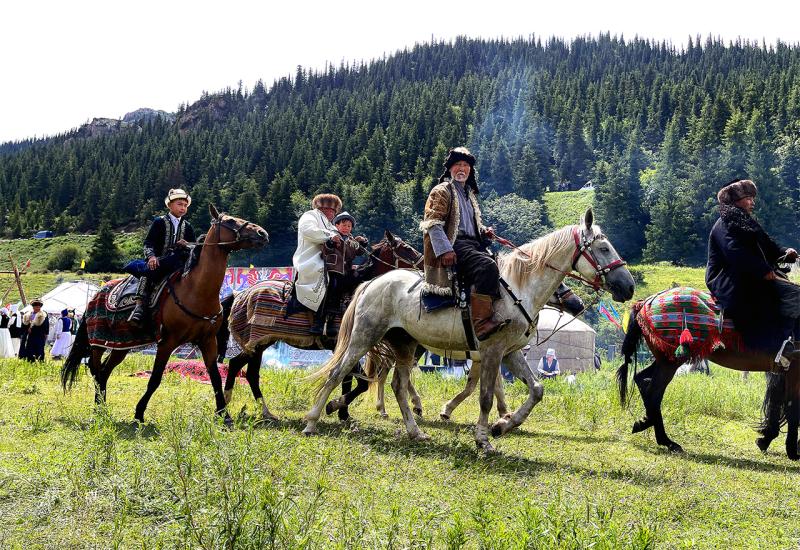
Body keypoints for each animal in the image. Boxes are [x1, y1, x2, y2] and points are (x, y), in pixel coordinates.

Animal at [61, 207, 268, 426]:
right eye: (230, 221)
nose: (262, 233)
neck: (196, 290)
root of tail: (96, 295)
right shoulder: (168, 342)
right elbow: (155, 379)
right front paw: (139, 413)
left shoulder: (208, 341)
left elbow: (215, 377)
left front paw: (224, 414)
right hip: (97, 344)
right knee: (95, 368)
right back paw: (99, 408)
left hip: (120, 346)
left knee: (104, 370)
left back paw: (102, 408)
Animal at [216, 231, 422, 424]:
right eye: (406, 248)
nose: (422, 264)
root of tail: (240, 293)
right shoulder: (343, 346)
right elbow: (360, 383)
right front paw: (335, 407)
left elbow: (348, 380)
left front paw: (343, 413)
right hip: (258, 342)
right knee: (239, 367)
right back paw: (227, 407)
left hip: (262, 342)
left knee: (247, 372)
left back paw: (261, 411)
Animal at [304, 209, 636, 450]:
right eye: (603, 248)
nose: (628, 286)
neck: (516, 288)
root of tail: (372, 283)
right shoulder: (491, 352)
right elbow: (485, 395)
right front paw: (483, 437)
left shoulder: (510, 352)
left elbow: (535, 389)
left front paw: (503, 424)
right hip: (365, 337)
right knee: (339, 373)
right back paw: (313, 420)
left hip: (405, 344)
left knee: (397, 384)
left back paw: (414, 431)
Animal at [616, 288, 796, 462]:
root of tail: (645, 303)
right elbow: (789, 406)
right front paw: (786, 447)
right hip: (671, 361)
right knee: (653, 391)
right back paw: (666, 440)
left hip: (665, 358)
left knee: (643, 380)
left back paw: (646, 424)